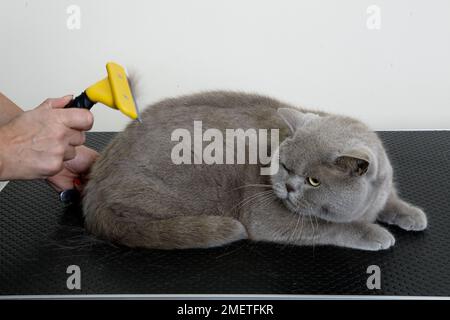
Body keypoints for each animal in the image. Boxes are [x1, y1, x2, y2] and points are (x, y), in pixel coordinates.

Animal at [81, 90, 428, 250]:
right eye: (285, 166)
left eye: (313, 180)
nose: (288, 187)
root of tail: (94, 186)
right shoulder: (268, 217)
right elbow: (330, 227)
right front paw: (374, 233)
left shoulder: (383, 187)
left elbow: (390, 199)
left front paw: (411, 214)